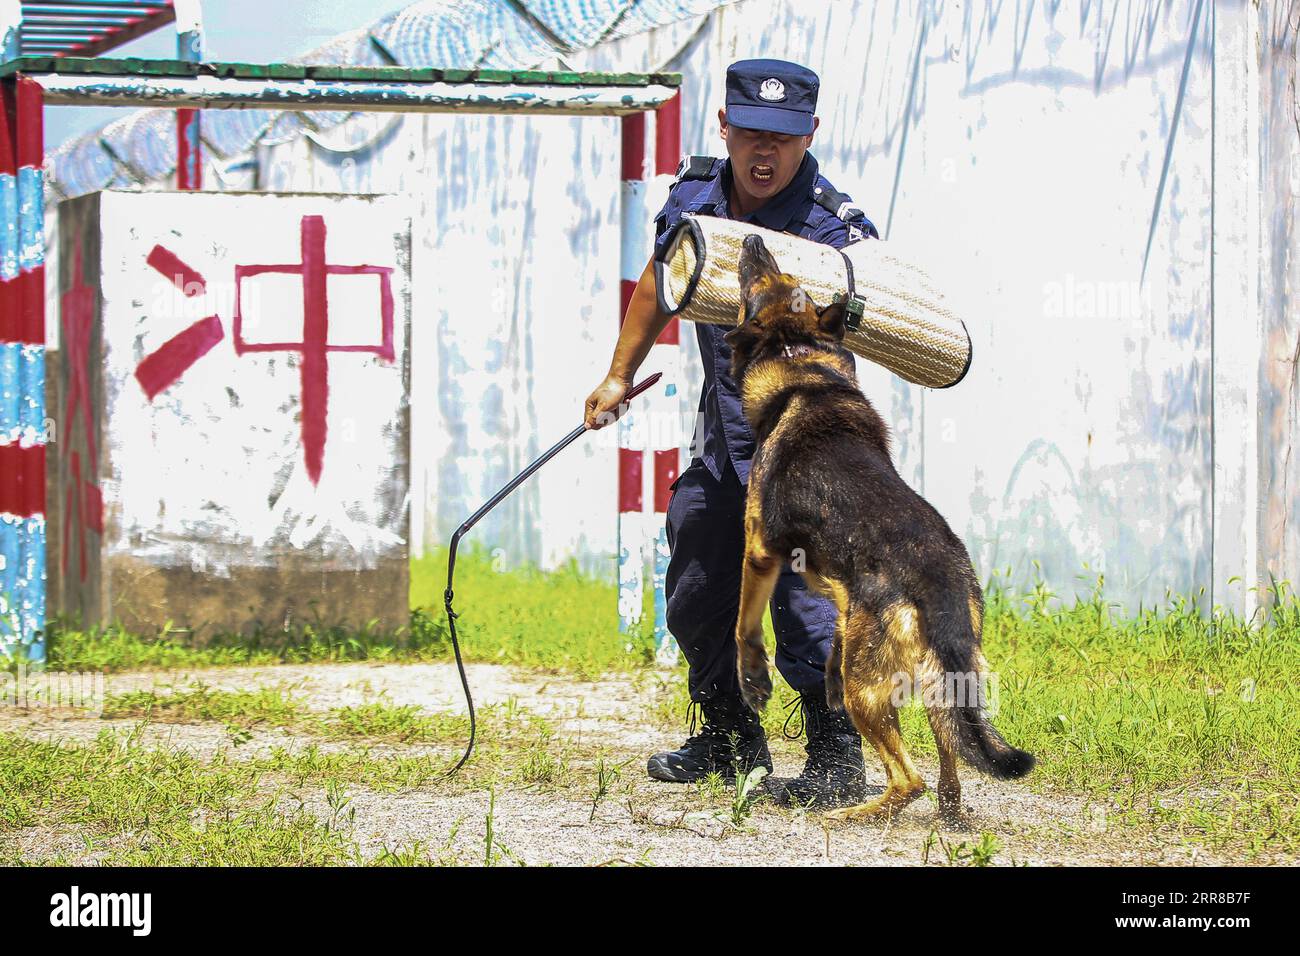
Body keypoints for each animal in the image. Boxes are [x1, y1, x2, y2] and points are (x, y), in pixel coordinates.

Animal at [722, 235, 1034, 827]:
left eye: (761, 281)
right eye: (784, 276)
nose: (752, 239)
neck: (796, 357)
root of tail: (940, 580)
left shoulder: (758, 551)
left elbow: (743, 628)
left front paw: (752, 680)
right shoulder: (842, 598)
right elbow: (833, 640)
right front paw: (822, 677)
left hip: (871, 692)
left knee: (909, 779)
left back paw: (849, 815)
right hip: (941, 681)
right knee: (949, 768)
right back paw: (945, 816)